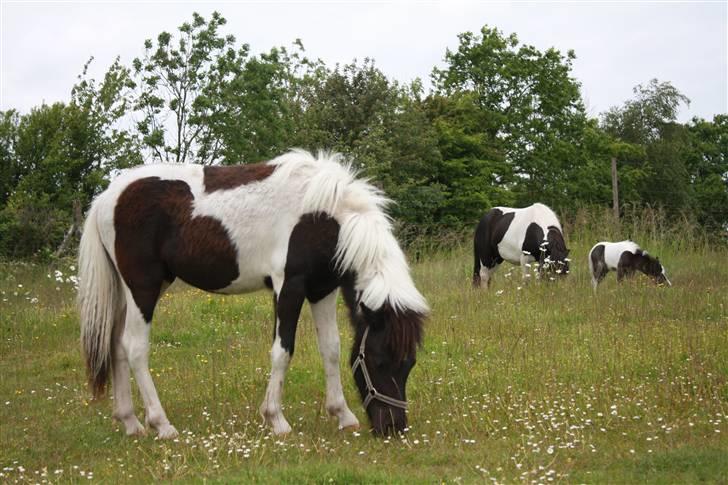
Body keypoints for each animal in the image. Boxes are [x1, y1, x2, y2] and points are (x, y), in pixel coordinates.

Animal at [77, 149, 430, 436]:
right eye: (379, 361)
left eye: (410, 363)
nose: (393, 427)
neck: (323, 215)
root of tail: (107, 196)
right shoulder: (289, 286)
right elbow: (282, 351)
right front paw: (276, 419)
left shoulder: (322, 290)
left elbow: (330, 348)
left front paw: (342, 416)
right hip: (143, 288)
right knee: (135, 348)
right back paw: (162, 425)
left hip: (132, 291)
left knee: (116, 345)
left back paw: (131, 423)